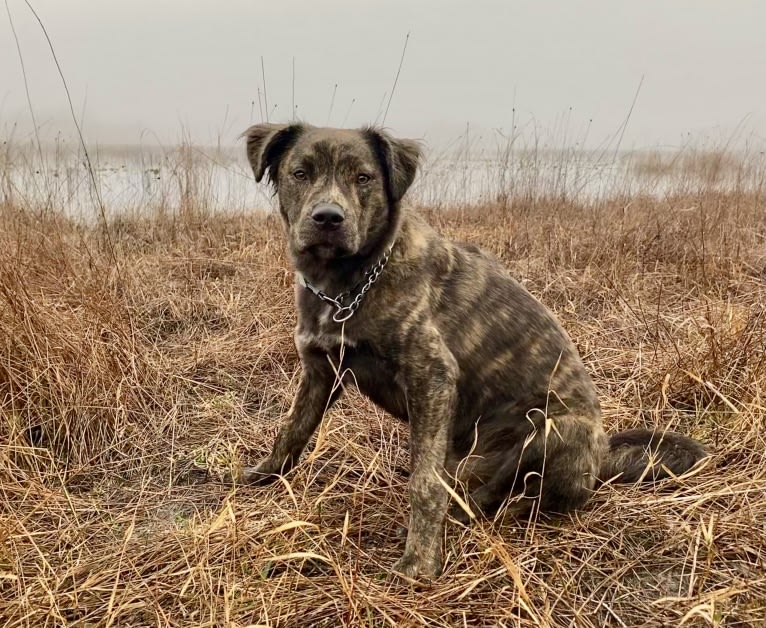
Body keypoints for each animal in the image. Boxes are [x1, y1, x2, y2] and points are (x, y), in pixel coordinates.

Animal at [237, 121, 712, 580]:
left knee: (528, 499)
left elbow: (424, 483)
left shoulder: (432, 377)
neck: (347, 283)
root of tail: (603, 455)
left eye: (364, 177)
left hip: (556, 430)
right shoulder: (321, 371)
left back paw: (478, 513)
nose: (328, 218)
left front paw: (420, 562)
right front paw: (264, 475)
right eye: (300, 173)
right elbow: (293, 431)